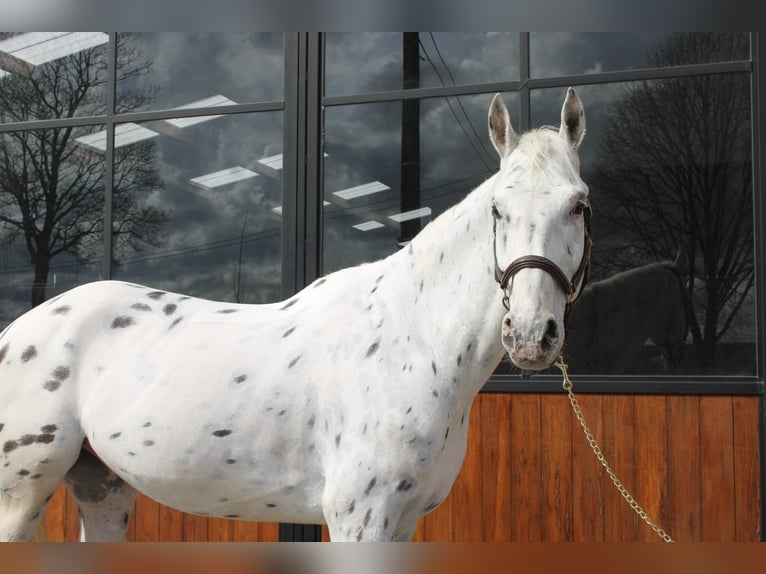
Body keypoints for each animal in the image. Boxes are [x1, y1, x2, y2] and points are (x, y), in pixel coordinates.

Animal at [0, 88, 592, 544]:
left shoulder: (401, 523)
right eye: (498, 209)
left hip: (102, 487)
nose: (531, 334)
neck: (416, 342)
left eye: (578, 205)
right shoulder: (360, 520)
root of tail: (18, 330)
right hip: (21, 495)